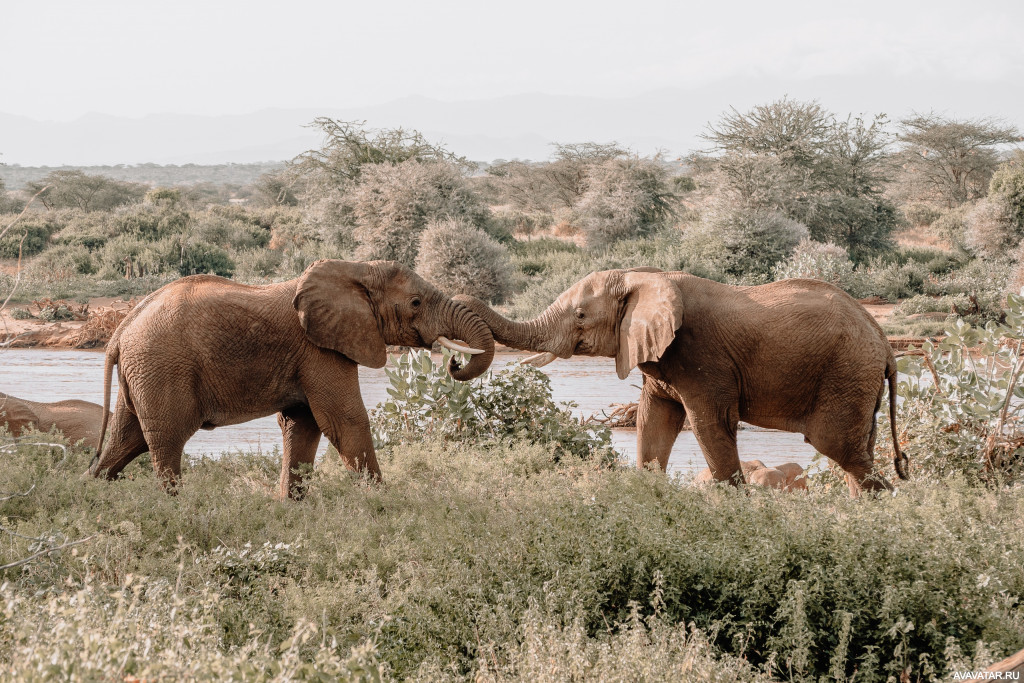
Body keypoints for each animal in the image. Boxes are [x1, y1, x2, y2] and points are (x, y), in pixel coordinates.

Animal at [90, 259, 497, 499]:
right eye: (415, 303)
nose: (454, 362)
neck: (355, 270)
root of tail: (119, 331)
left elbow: (302, 425)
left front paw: (290, 506)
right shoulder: (320, 349)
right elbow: (344, 421)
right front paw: (385, 504)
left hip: (143, 372)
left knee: (128, 439)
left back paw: (92, 493)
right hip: (162, 367)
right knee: (166, 439)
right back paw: (176, 507)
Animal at [452, 268, 909, 497]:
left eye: (580, 316)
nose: (455, 362)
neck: (641, 275)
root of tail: (885, 345)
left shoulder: (700, 357)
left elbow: (708, 427)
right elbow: (653, 424)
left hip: (846, 374)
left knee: (840, 450)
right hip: (857, 381)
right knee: (857, 454)